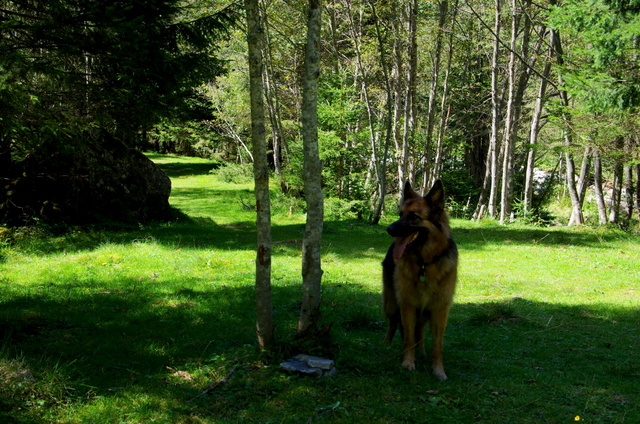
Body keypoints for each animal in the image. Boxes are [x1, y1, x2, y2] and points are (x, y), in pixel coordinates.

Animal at [382, 181, 458, 380]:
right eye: (400, 214)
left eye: (413, 217)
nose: (389, 229)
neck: (424, 263)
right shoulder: (407, 304)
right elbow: (408, 337)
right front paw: (408, 362)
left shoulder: (439, 309)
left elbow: (437, 344)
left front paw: (438, 370)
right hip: (391, 303)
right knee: (393, 323)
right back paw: (387, 345)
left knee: (421, 332)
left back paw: (422, 352)